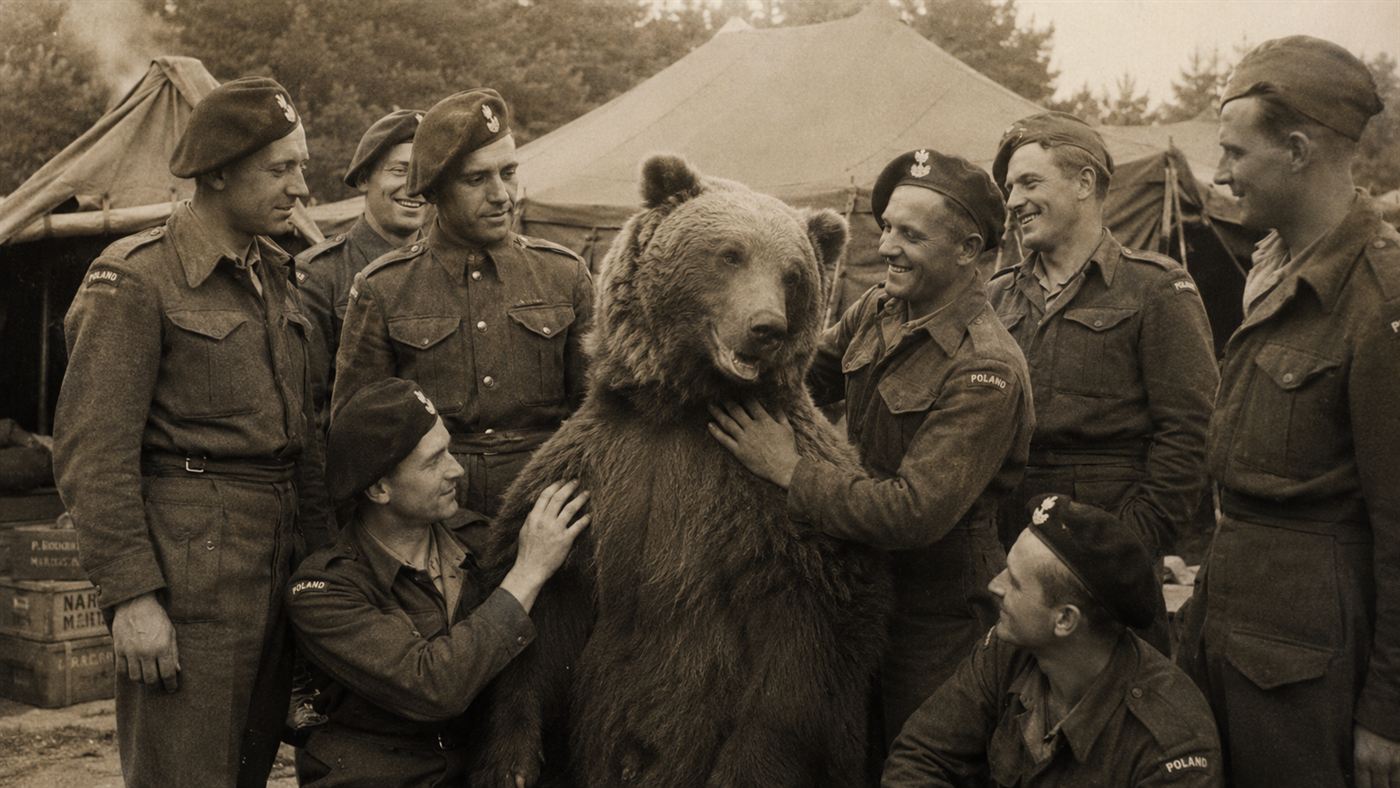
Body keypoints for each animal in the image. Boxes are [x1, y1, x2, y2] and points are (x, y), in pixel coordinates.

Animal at [472, 155, 892, 787]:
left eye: (793, 273)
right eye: (731, 253)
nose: (766, 327)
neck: (680, 410)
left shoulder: (781, 516)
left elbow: (794, 656)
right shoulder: (594, 473)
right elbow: (547, 613)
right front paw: (514, 763)